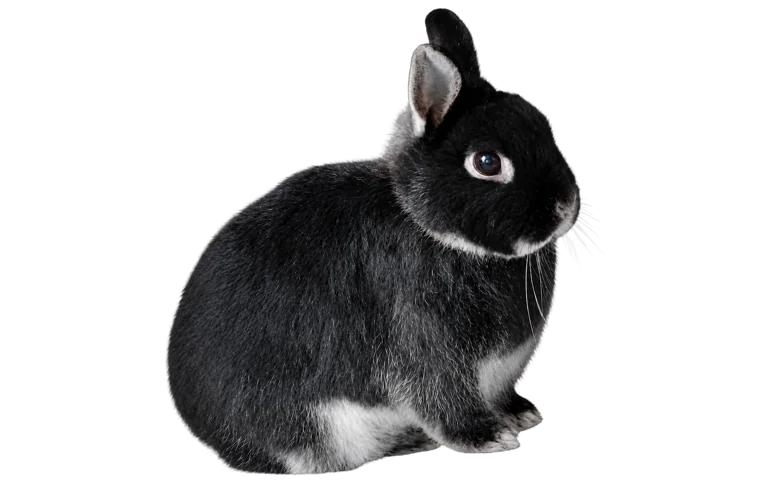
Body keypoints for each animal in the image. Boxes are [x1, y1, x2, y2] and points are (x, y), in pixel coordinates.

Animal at [165, 8, 581, 475]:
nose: (567, 206)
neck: (436, 234)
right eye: (487, 162)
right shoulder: (423, 342)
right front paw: (492, 437)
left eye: (539, 122)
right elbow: (442, 399)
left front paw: (523, 414)